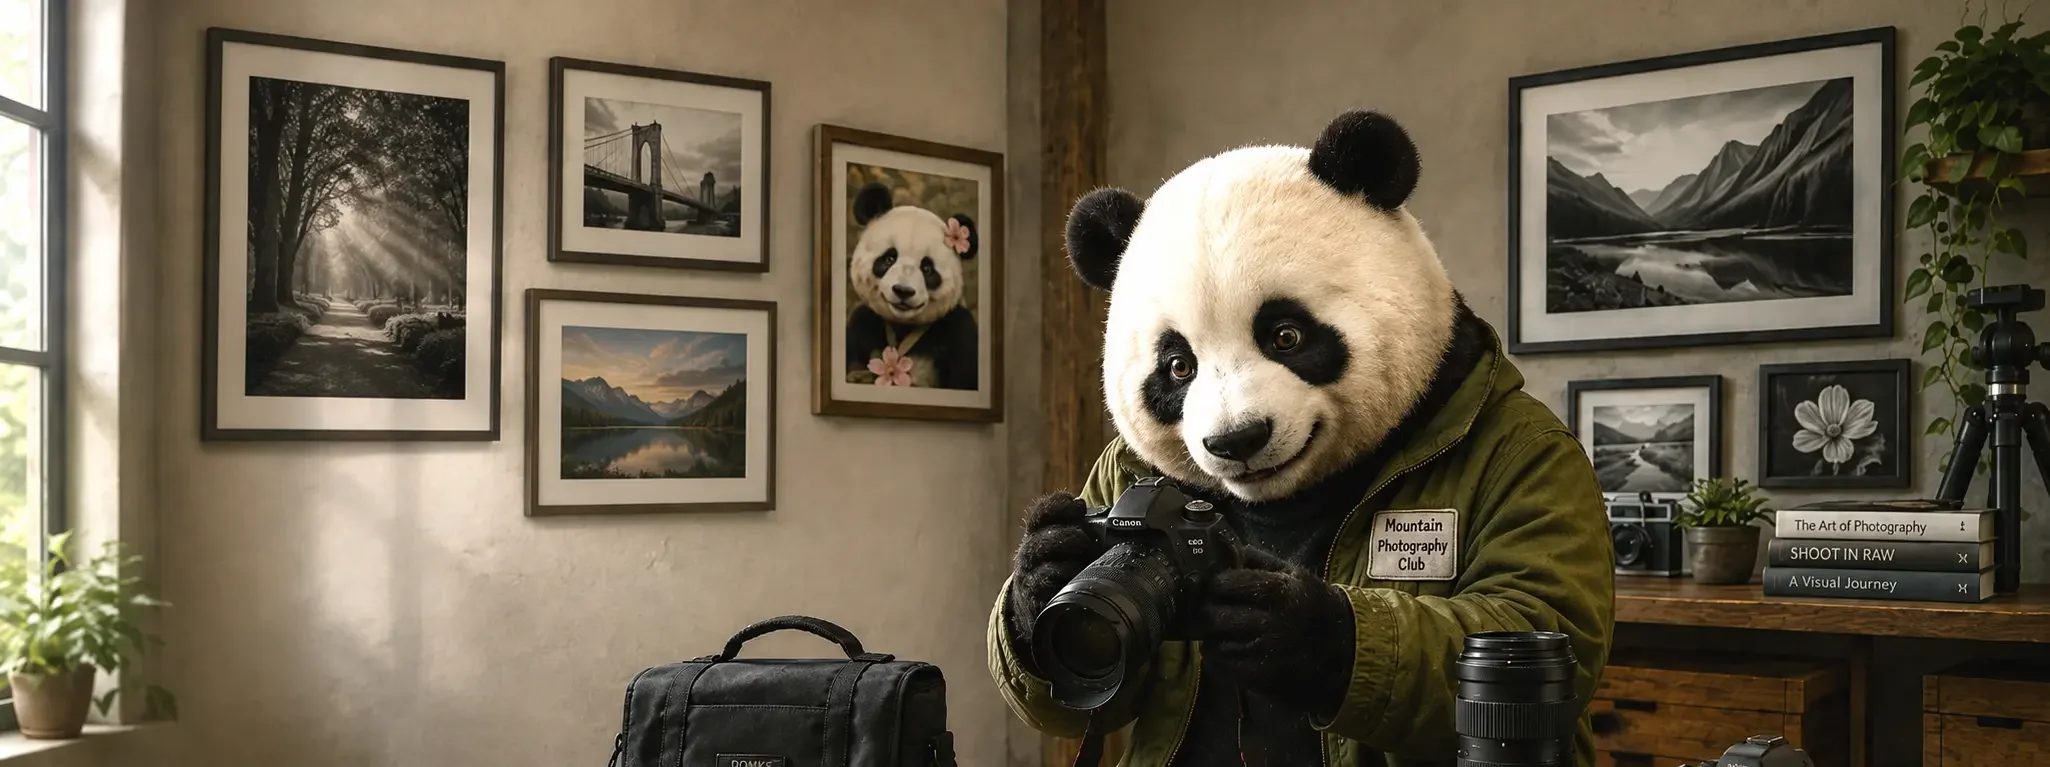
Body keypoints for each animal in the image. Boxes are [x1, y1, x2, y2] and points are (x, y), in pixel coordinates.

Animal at [844, 181, 979, 391]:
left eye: (927, 269)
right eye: (889, 258)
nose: (903, 291)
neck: (903, 327)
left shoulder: (959, 333)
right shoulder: (863, 326)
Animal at [991, 110, 1614, 767]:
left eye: (1285, 335)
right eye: (1177, 367)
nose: (1237, 440)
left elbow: (1523, 606)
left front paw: (1288, 626)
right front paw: (1043, 567)